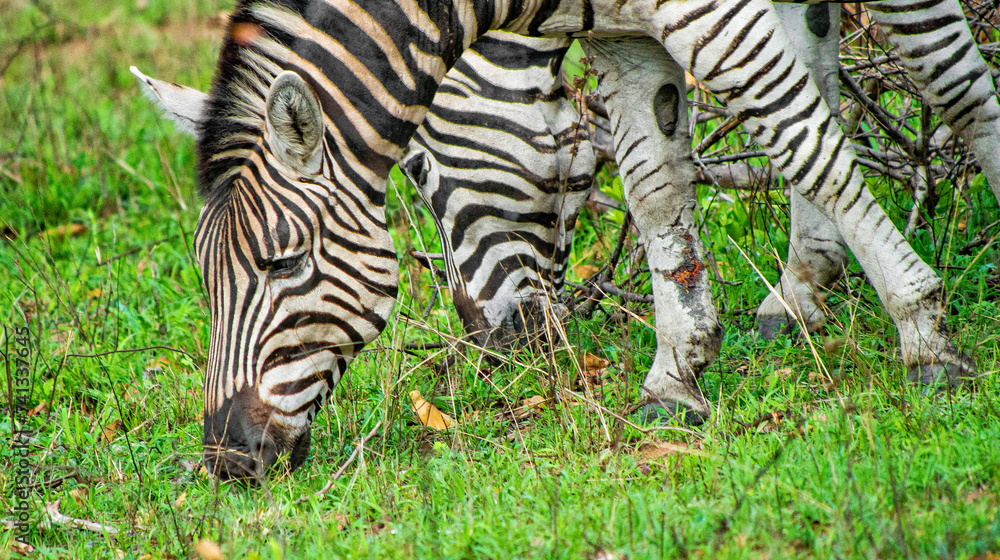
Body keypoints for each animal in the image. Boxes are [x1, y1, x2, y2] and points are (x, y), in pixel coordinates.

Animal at [137, 0, 984, 478]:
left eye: (283, 262)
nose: (227, 461)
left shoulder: (703, 12)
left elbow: (807, 140)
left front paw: (925, 335)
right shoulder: (625, 31)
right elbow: (654, 185)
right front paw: (677, 376)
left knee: (949, 75)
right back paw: (800, 288)